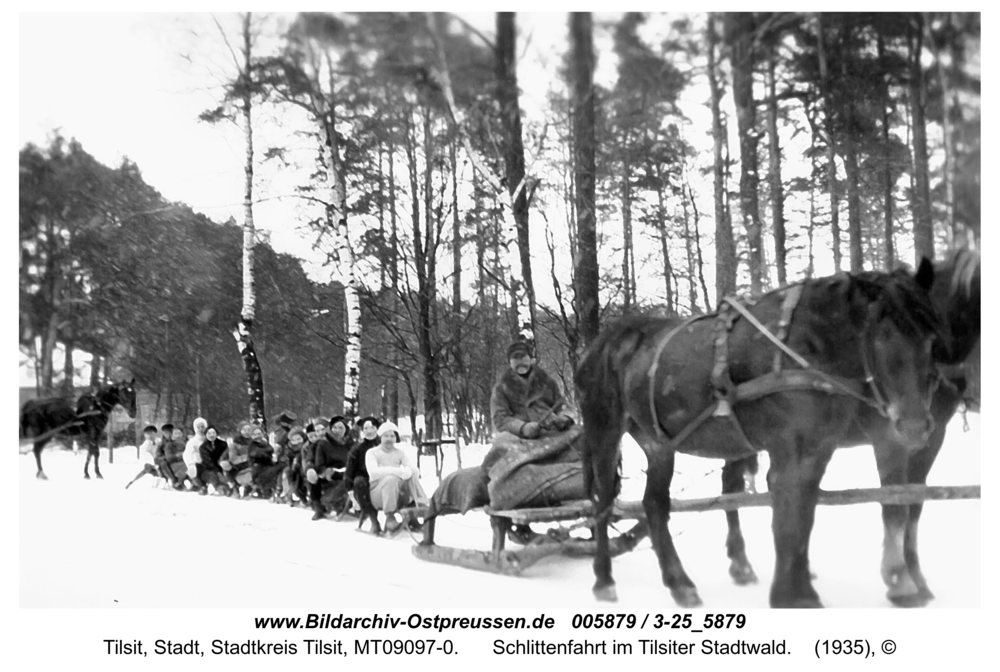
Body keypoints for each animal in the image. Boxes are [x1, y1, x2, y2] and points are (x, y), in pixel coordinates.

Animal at [576, 264, 940, 608]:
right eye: (881, 334)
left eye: (930, 337)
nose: (915, 426)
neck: (809, 347)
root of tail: (599, 345)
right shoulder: (790, 451)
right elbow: (788, 522)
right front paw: (791, 595)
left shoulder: (818, 450)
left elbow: (804, 517)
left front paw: (801, 588)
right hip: (604, 432)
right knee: (603, 503)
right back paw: (603, 580)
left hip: (659, 443)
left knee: (654, 505)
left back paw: (680, 584)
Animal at [720, 249, 984, 608]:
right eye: (880, 341)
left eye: (931, 340)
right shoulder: (891, 438)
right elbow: (895, 506)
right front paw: (899, 581)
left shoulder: (930, 438)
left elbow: (914, 504)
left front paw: (917, 579)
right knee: (731, 485)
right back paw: (741, 564)